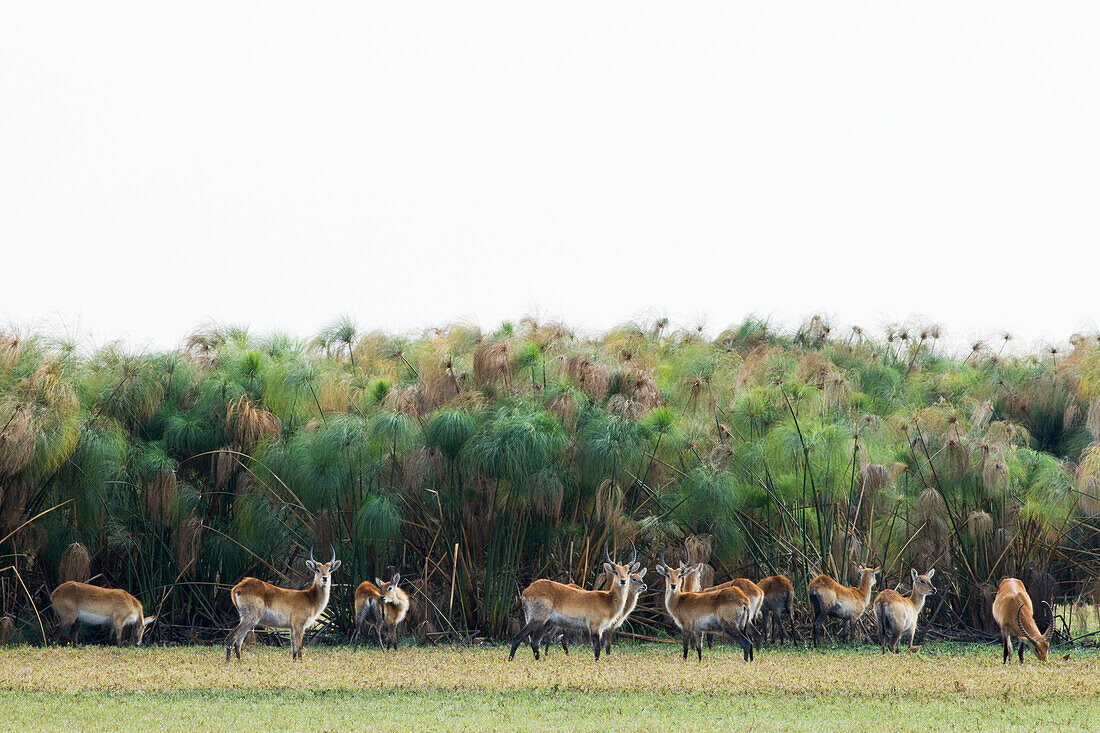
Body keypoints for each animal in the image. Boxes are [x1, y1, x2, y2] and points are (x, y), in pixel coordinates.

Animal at [510, 539, 642, 660]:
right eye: (615, 571)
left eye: (628, 572)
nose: (623, 581)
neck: (608, 600)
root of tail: (527, 590)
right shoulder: (595, 627)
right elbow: (598, 650)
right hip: (537, 620)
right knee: (517, 638)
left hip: (544, 623)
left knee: (535, 642)